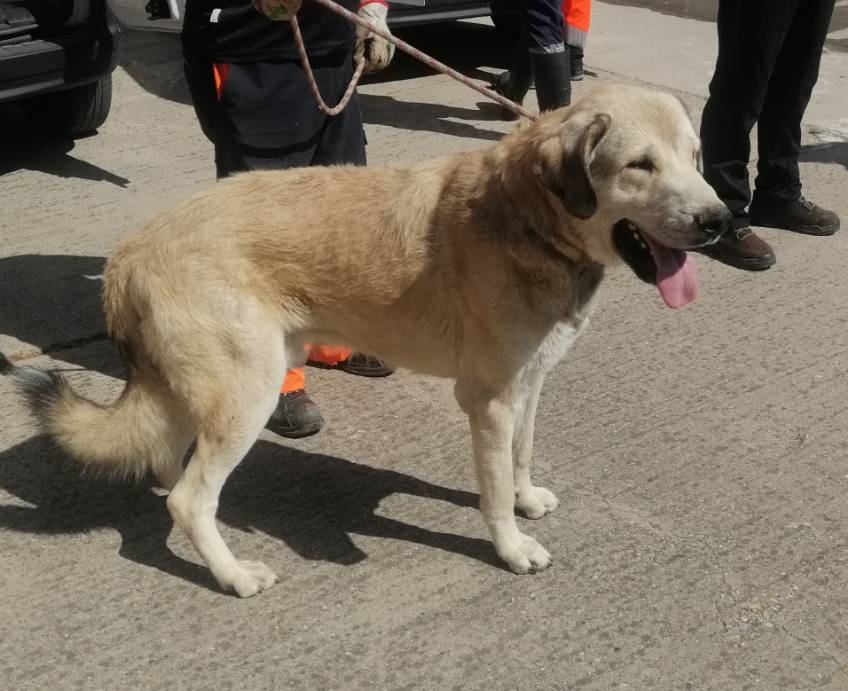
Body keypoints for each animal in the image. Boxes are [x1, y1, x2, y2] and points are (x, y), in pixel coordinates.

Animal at [1, 85, 731, 597]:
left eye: (696, 158)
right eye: (640, 166)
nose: (721, 221)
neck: (533, 218)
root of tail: (130, 249)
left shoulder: (529, 384)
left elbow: (518, 460)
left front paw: (527, 499)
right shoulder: (488, 400)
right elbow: (492, 489)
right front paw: (511, 546)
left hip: (203, 386)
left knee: (164, 460)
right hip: (247, 393)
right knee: (191, 498)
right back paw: (233, 575)